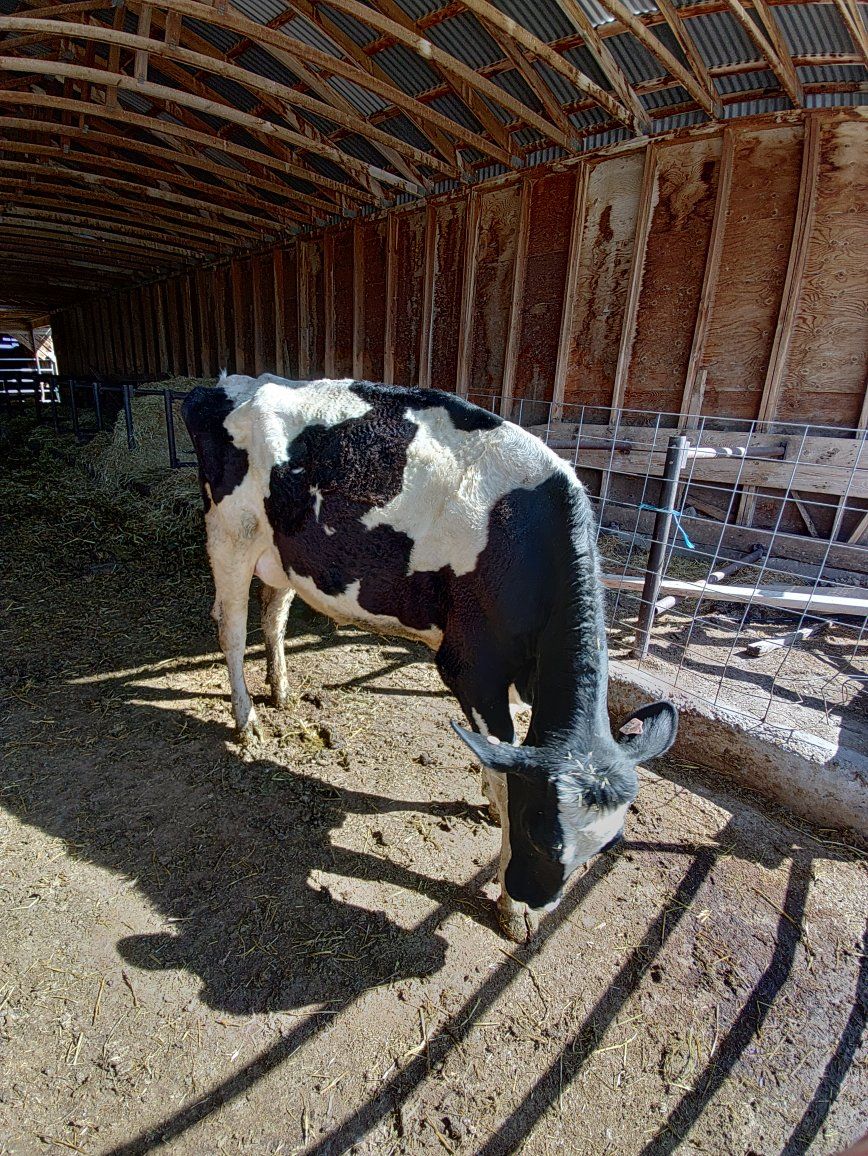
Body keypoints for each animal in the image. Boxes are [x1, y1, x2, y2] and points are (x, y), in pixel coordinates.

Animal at [182, 374, 677, 941]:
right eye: (540, 836)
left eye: (606, 846)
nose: (535, 898)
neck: (524, 541)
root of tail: (228, 383)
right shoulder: (471, 668)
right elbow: (504, 761)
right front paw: (512, 907)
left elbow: (510, 754)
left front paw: (490, 797)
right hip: (230, 537)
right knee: (232, 630)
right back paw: (247, 722)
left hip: (286, 553)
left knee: (273, 616)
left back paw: (281, 690)